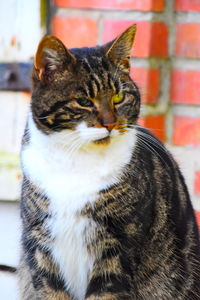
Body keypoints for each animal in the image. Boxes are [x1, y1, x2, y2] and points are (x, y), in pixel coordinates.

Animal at [18, 25, 200, 300]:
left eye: (118, 96)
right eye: (84, 101)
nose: (110, 123)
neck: (75, 161)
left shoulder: (117, 248)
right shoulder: (40, 247)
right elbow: (50, 290)